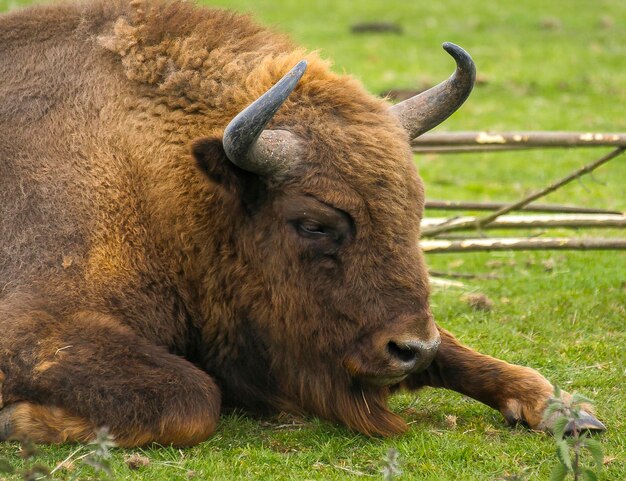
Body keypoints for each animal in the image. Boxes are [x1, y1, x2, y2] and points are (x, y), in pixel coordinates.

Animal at [0, 0, 604, 446]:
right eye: (313, 224)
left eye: (416, 209)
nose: (411, 350)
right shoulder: (36, 322)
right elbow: (192, 398)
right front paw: (16, 422)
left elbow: (462, 350)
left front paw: (564, 409)